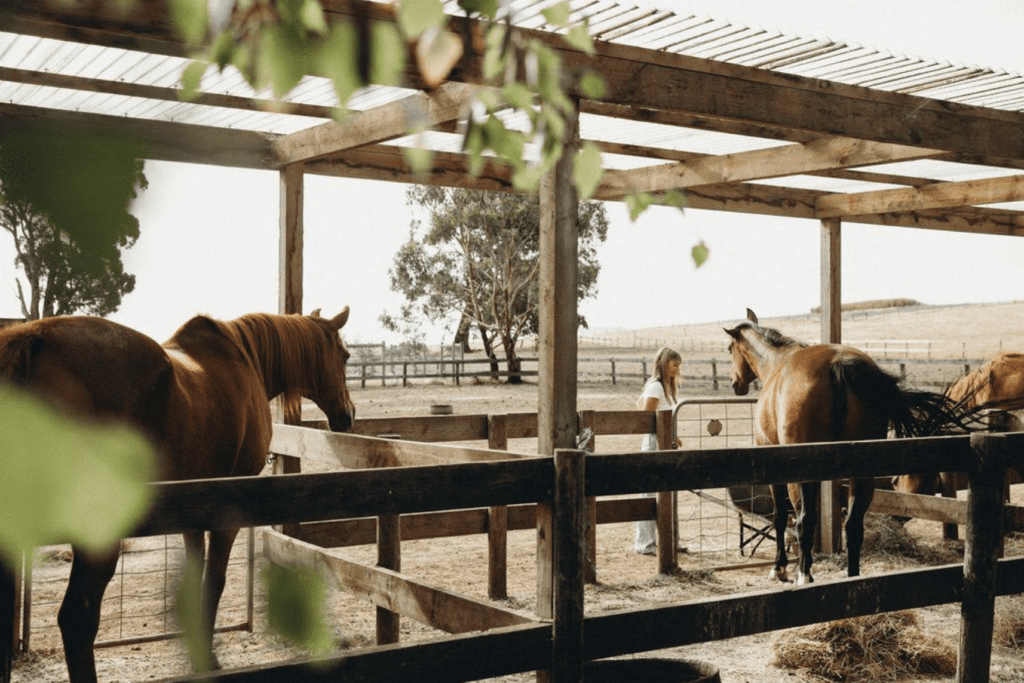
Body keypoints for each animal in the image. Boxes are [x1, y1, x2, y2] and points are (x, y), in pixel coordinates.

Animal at [0, 308, 356, 683]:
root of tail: (34, 339)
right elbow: (214, 581)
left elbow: (194, 578)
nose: (348, 415)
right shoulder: (228, 510)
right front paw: (207, 660)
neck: (246, 361)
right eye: (345, 356)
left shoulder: (192, 513)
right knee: (77, 620)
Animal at [724, 309, 971, 585]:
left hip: (804, 476)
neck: (777, 363)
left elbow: (780, 517)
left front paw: (780, 568)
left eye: (729, 348)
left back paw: (804, 575)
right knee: (853, 524)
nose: (735, 384)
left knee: (804, 520)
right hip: (861, 474)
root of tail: (838, 365)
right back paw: (852, 576)